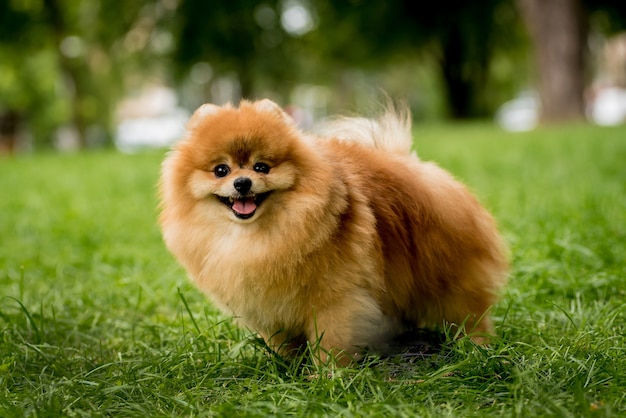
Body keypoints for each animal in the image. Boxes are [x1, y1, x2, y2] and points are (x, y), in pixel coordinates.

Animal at [157, 99, 508, 364]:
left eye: (261, 167)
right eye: (221, 170)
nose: (242, 183)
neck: (261, 237)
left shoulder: (336, 300)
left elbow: (330, 343)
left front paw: (327, 377)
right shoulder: (267, 308)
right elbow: (283, 344)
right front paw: (287, 368)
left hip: (447, 276)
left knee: (469, 312)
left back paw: (475, 347)